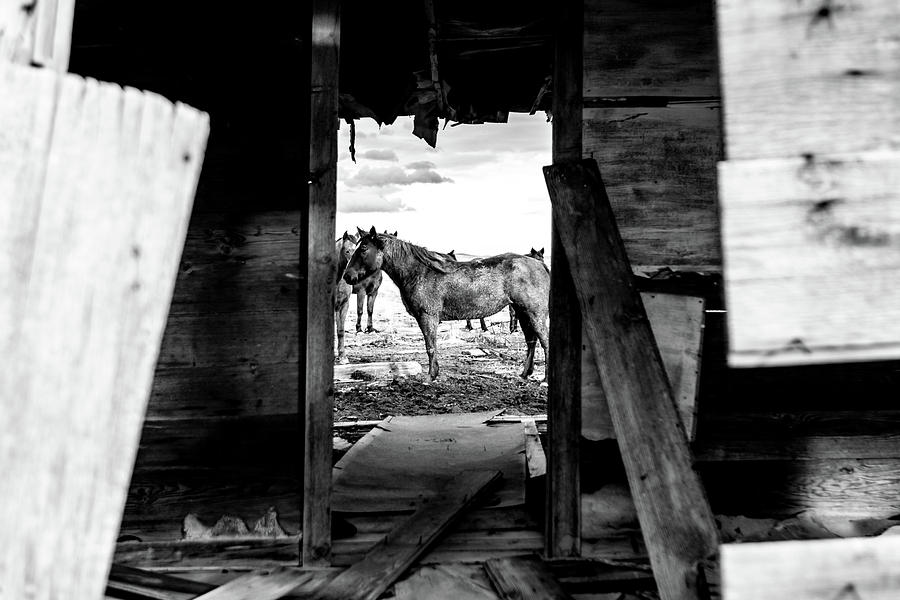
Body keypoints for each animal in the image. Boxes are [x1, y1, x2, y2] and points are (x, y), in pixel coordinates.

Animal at [342, 227, 548, 382]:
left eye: (363, 248)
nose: (347, 276)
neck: (419, 272)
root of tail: (540, 265)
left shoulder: (428, 317)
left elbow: (430, 346)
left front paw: (430, 376)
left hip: (534, 314)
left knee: (544, 341)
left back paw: (545, 379)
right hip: (522, 312)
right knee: (531, 341)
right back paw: (524, 374)